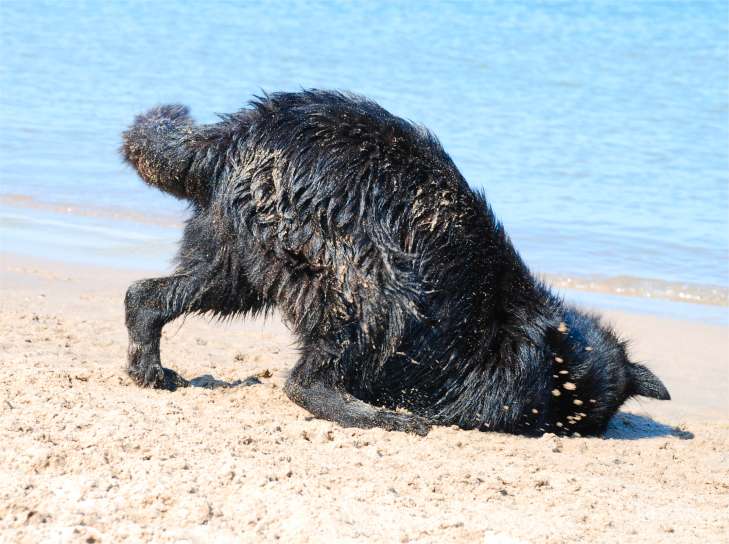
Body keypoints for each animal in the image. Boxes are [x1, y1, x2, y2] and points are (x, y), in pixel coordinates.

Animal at [121, 90, 670, 436]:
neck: (518, 325)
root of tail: (231, 135)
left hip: (232, 259)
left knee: (147, 295)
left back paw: (148, 365)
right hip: (370, 285)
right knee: (308, 381)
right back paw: (372, 414)